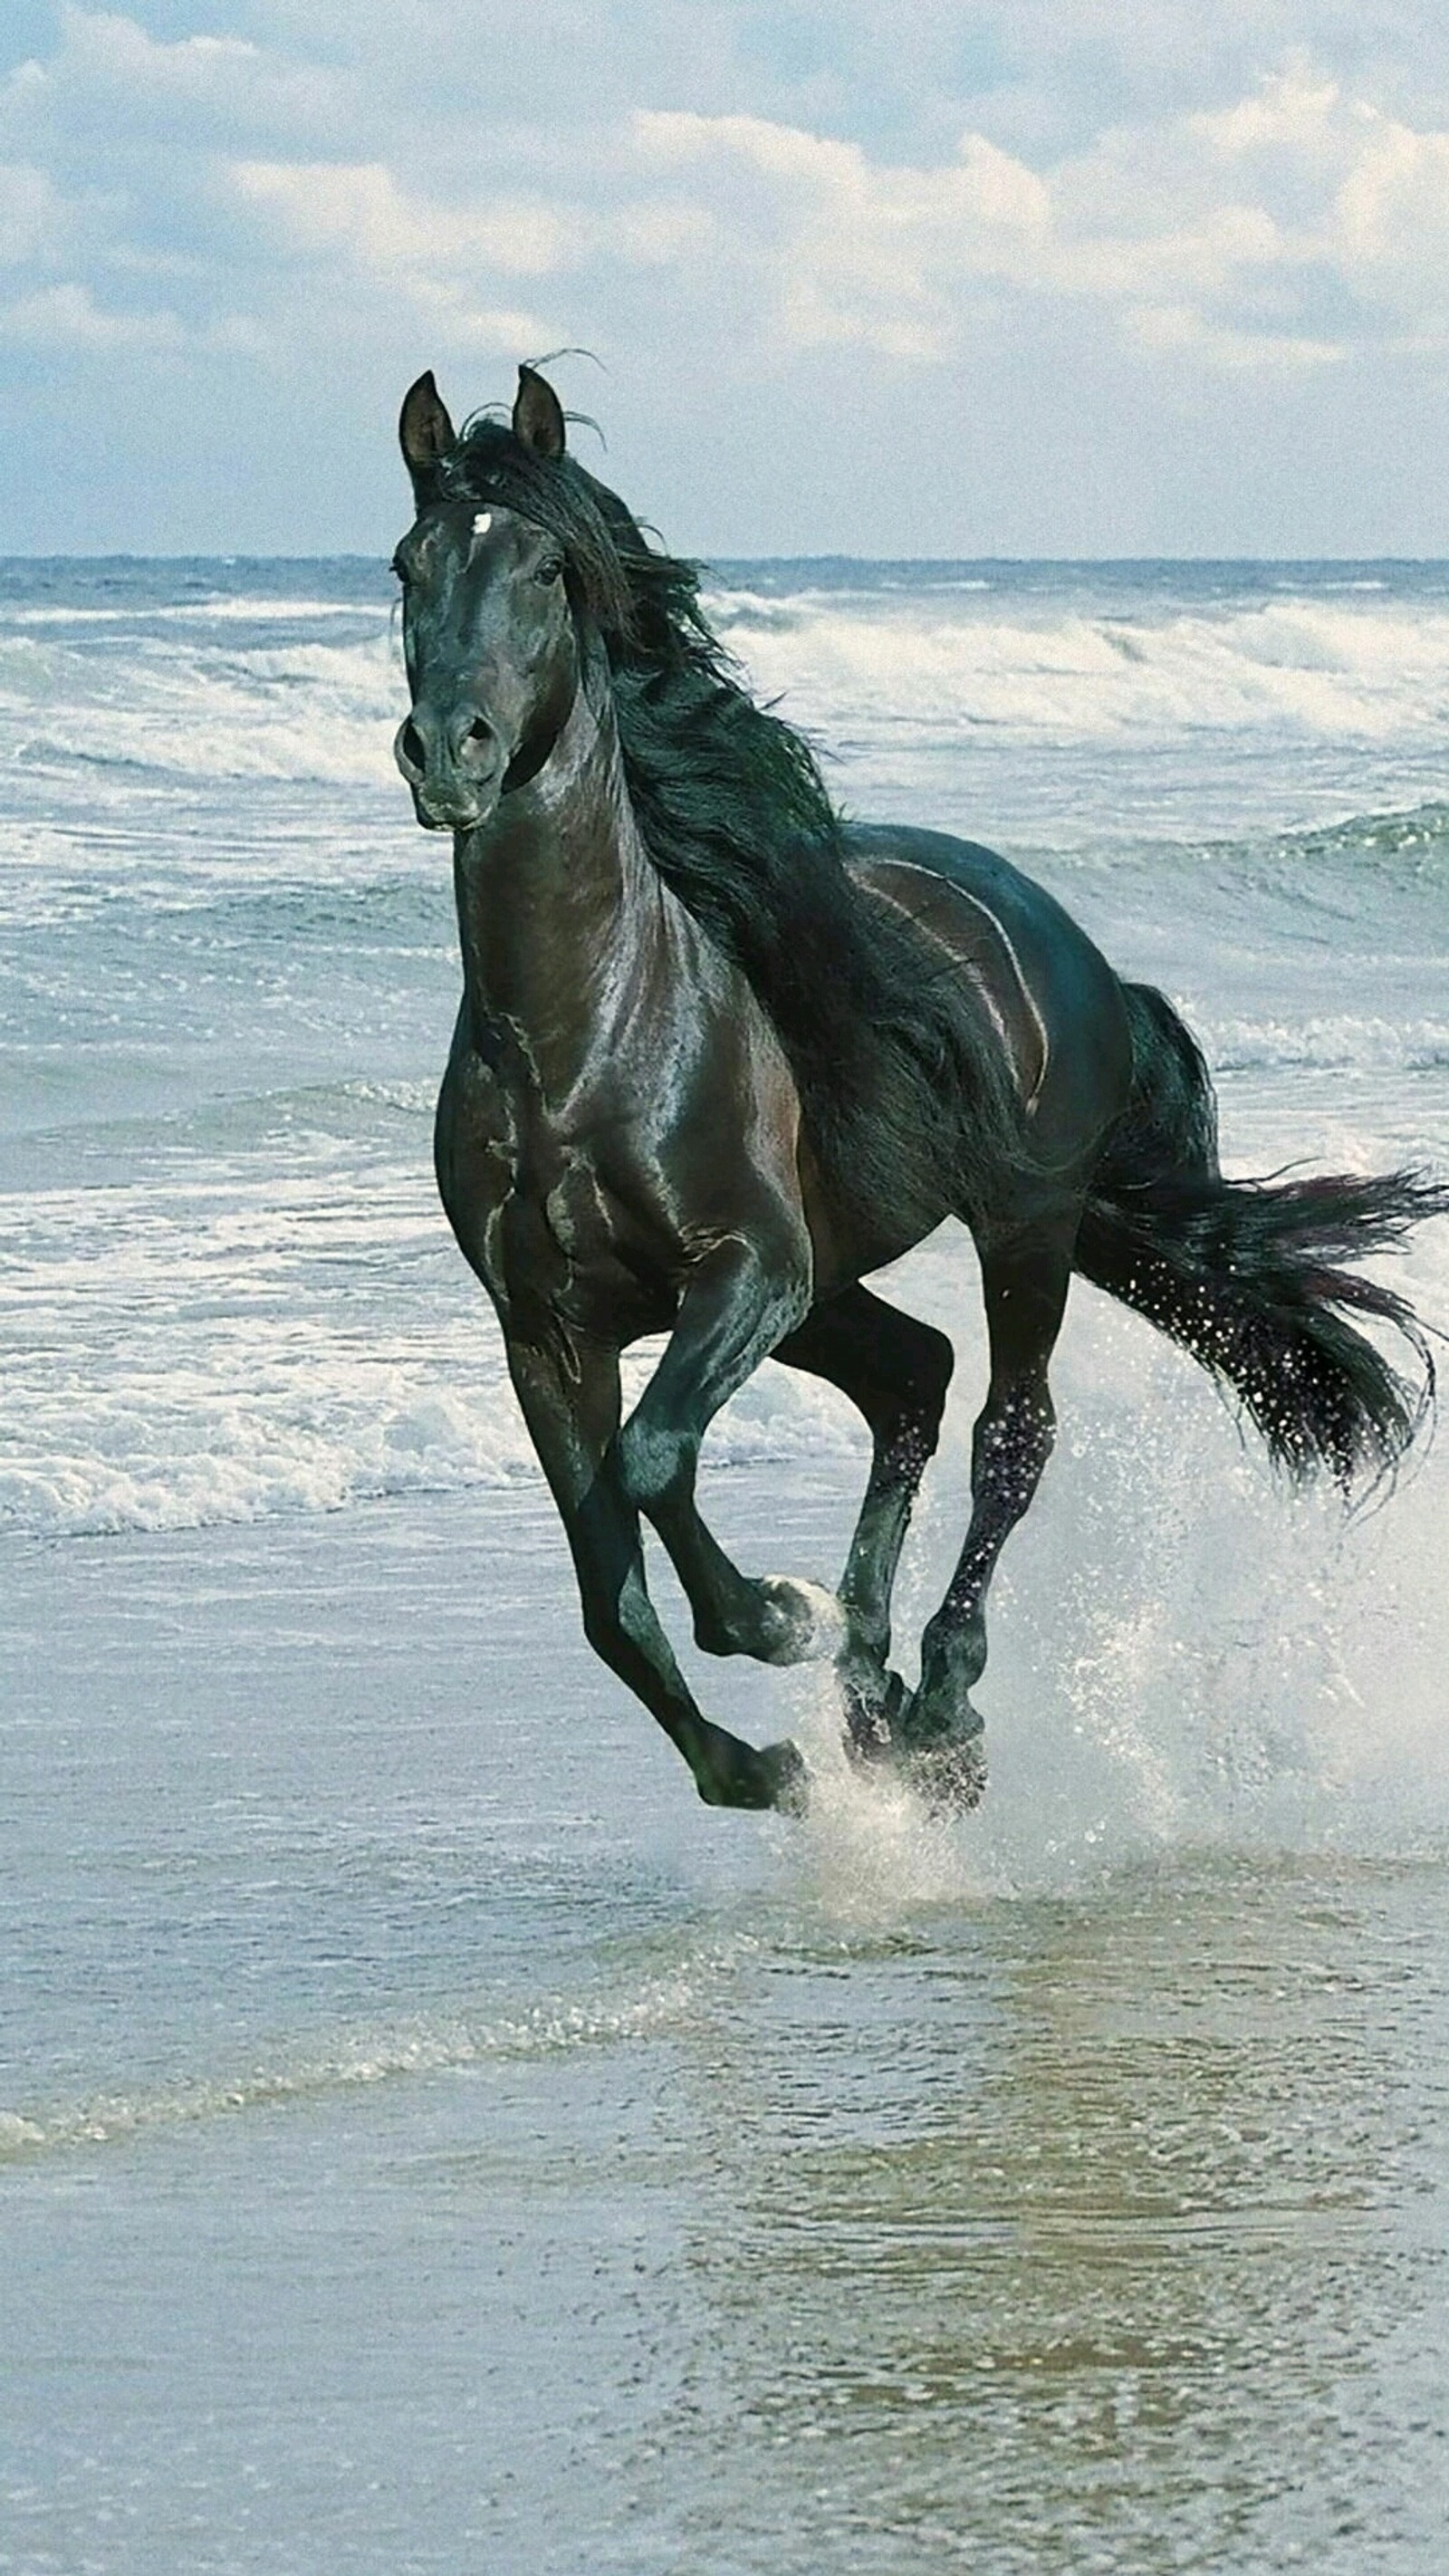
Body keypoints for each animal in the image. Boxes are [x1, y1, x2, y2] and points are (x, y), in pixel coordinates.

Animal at [390, 363, 1441, 1813]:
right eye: (408, 564)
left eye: (547, 569)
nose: (451, 751)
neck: (581, 1043)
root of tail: (1063, 943)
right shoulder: (546, 1332)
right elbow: (609, 1596)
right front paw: (759, 1761)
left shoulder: (748, 1269)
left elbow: (654, 1460)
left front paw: (773, 1617)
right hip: (836, 1287)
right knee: (913, 1381)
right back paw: (873, 1693)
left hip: (1016, 1230)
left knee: (1010, 1429)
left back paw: (936, 1694)